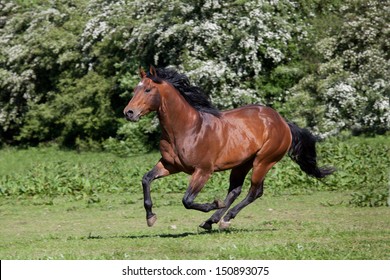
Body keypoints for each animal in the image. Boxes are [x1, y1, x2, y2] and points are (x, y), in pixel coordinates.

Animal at [123, 65, 334, 230]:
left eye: (148, 90)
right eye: (134, 89)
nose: (129, 113)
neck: (187, 129)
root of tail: (283, 122)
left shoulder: (203, 171)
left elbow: (187, 200)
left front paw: (214, 203)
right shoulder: (170, 165)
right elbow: (146, 179)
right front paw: (151, 217)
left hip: (263, 162)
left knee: (254, 192)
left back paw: (225, 218)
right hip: (242, 164)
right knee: (235, 191)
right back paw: (211, 221)